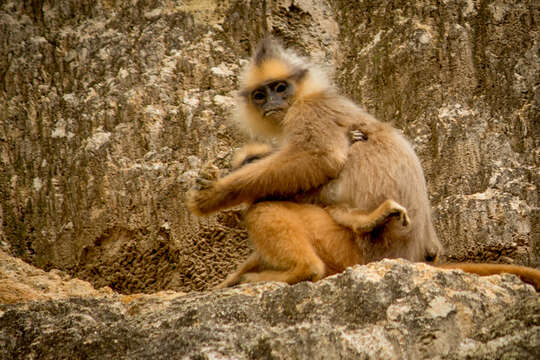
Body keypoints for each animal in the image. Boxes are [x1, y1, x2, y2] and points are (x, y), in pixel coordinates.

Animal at [187, 37, 540, 290]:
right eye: (260, 95)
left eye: (280, 88)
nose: (271, 102)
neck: (303, 97)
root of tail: (413, 257)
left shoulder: (310, 110)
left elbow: (320, 158)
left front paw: (212, 195)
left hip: (353, 251)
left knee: (264, 207)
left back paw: (309, 263)